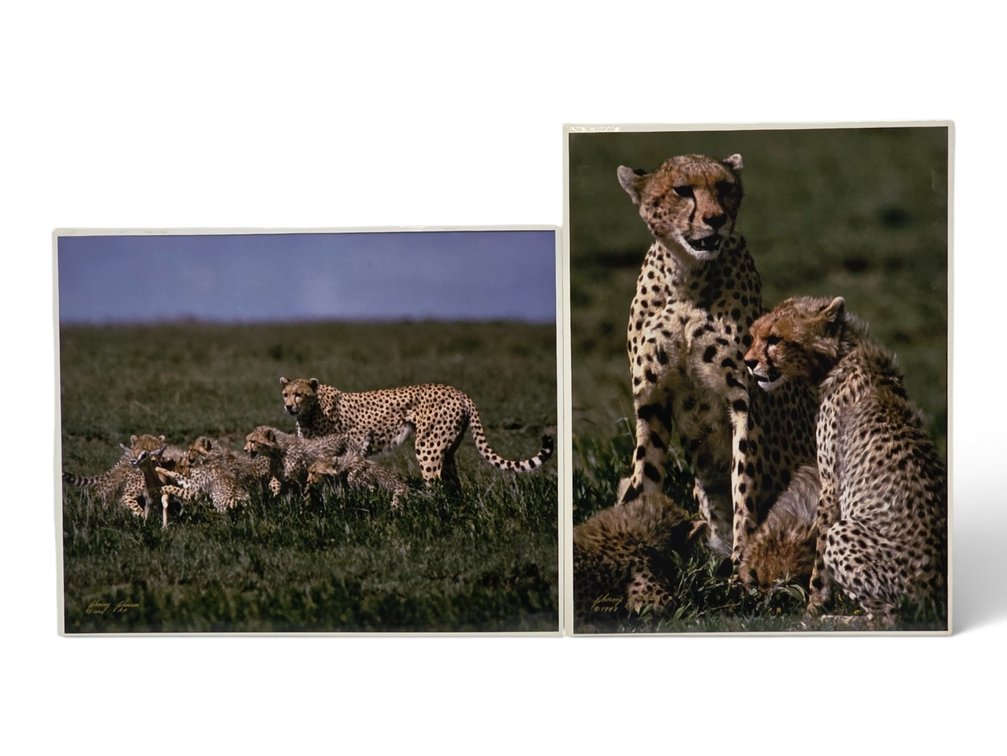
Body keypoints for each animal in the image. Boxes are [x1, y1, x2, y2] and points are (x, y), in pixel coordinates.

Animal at [279, 376, 554, 488]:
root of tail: (460, 392)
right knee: (453, 484)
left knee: (435, 484)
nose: (289, 406)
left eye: (299, 394)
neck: (311, 409)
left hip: (428, 446)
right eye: (285, 394)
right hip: (447, 449)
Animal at [615, 153, 818, 563]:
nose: (716, 219)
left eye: (725, 188)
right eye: (682, 190)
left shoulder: (744, 397)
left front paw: (742, 562)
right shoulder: (651, 399)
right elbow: (645, 476)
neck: (686, 278)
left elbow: (744, 483)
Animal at [744, 295, 948, 627]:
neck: (841, 357)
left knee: (887, 620)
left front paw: (814, 609)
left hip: (846, 533)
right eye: (754, 336)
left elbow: (818, 564)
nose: (748, 362)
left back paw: (839, 620)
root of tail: (936, 598)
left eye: (775, 339)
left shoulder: (830, 486)